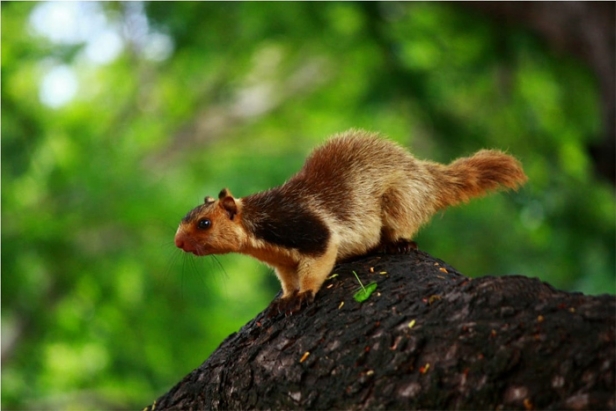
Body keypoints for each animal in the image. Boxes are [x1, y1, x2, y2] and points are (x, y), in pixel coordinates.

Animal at [176, 130, 528, 318]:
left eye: (204, 223)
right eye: (184, 219)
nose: (178, 243)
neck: (259, 228)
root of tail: (426, 176)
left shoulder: (309, 230)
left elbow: (317, 263)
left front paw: (304, 294)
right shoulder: (283, 262)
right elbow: (288, 280)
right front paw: (286, 299)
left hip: (400, 200)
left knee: (400, 227)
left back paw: (396, 243)